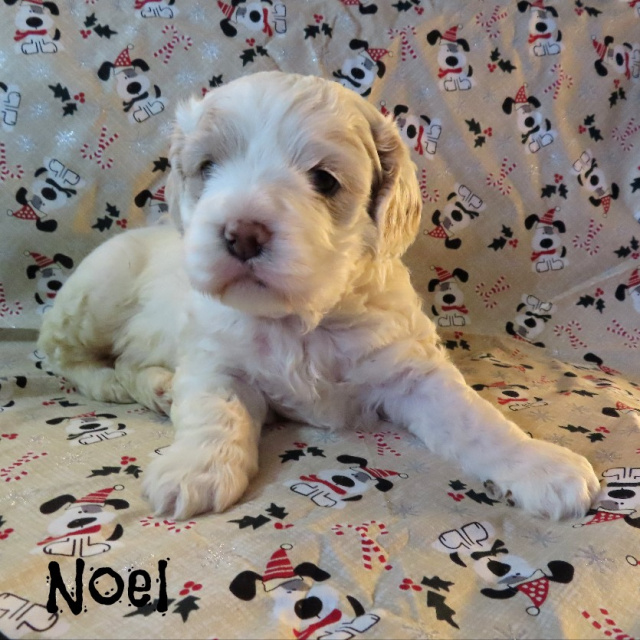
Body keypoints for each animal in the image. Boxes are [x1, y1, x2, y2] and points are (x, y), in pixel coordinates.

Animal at [38, 71, 599, 521]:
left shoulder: (412, 370)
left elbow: (476, 421)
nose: (242, 233)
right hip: (99, 289)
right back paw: (131, 384)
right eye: (207, 167)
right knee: (65, 355)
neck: (302, 318)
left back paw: (157, 385)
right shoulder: (214, 358)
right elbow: (215, 411)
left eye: (325, 180)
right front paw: (194, 470)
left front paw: (542, 465)